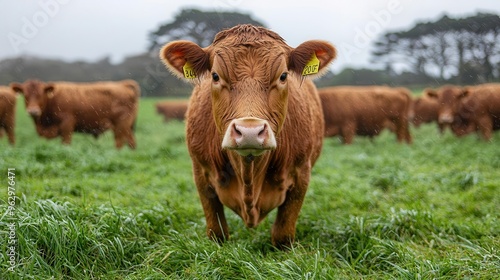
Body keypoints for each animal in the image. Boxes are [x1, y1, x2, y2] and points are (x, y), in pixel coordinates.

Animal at [10, 79, 140, 149]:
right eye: (25, 95)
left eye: (40, 95)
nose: (33, 111)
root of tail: (122, 84)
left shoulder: (67, 125)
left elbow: (66, 144)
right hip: (126, 127)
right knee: (131, 142)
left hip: (121, 125)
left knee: (120, 143)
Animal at [160, 23, 336, 247]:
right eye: (215, 76)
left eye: (283, 76)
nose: (249, 131)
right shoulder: (201, 172)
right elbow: (217, 232)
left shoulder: (301, 173)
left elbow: (282, 235)